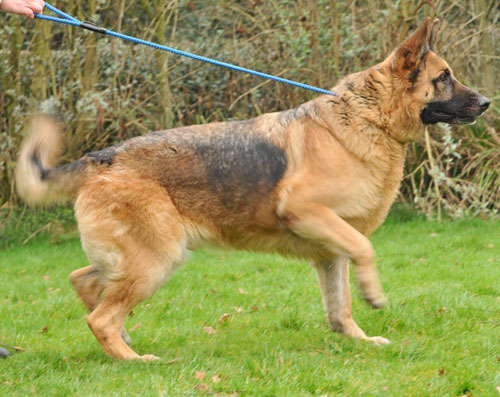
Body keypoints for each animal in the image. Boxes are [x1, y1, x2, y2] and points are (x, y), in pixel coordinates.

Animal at [15, 17, 488, 358]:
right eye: (444, 77)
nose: (486, 103)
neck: (369, 118)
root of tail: (100, 159)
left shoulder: (331, 251)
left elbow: (340, 307)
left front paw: (357, 339)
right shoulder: (310, 214)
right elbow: (365, 251)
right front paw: (373, 293)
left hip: (139, 259)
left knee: (85, 283)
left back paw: (126, 340)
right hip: (157, 260)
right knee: (99, 317)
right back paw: (133, 361)